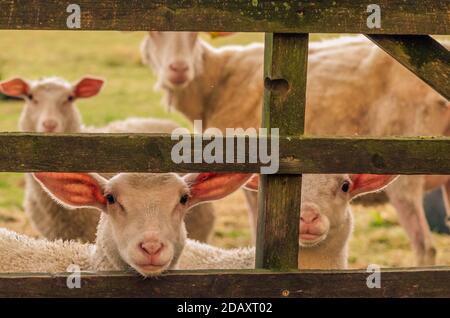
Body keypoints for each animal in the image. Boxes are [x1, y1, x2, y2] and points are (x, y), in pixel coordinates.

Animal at [142, 32, 450, 266]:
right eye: (154, 33)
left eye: (194, 36)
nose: (178, 70)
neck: (217, 79)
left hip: (406, 171)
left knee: (425, 247)